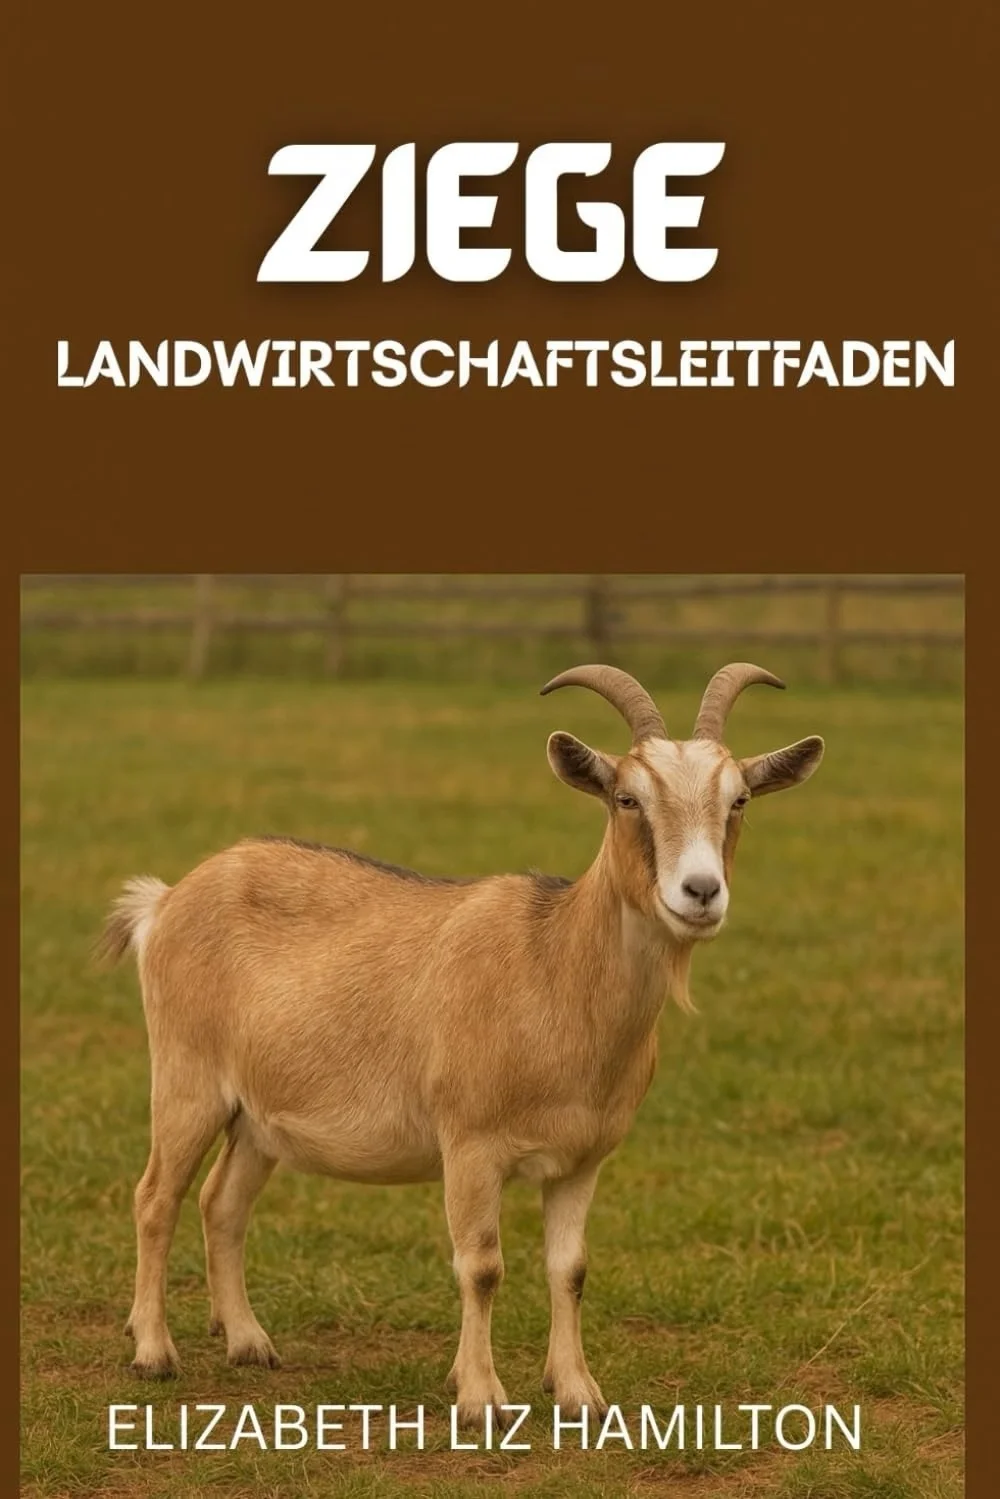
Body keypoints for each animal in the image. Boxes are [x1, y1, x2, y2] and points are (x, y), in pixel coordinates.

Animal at [98, 663, 823, 1426]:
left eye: (738, 799)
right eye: (627, 797)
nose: (701, 891)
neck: (553, 969)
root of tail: (165, 901)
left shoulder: (582, 1159)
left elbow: (570, 1269)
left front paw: (579, 1392)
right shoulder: (471, 1145)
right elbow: (481, 1266)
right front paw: (481, 1397)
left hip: (258, 1117)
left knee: (222, 1203)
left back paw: (248, 1340)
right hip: (186, 1078)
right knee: (156, 1196)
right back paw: (153, 1351)